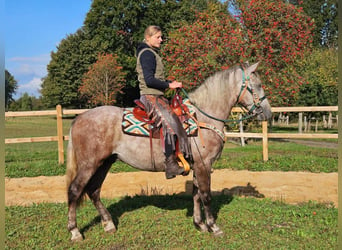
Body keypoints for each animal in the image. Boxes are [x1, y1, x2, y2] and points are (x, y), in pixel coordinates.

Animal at [65, 61, 272, 241]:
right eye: (258, 85)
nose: (268, 114)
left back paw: (108, 224)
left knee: (94, 191)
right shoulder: (204, 164)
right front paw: (213, 227)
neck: (203, 117)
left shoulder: (197, 165)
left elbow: (196, 194)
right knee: (75, 190)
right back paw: (75, 232)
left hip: (105, 162)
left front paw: (199, 224)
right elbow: (206, 195)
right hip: (89, 164)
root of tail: (79, 118)